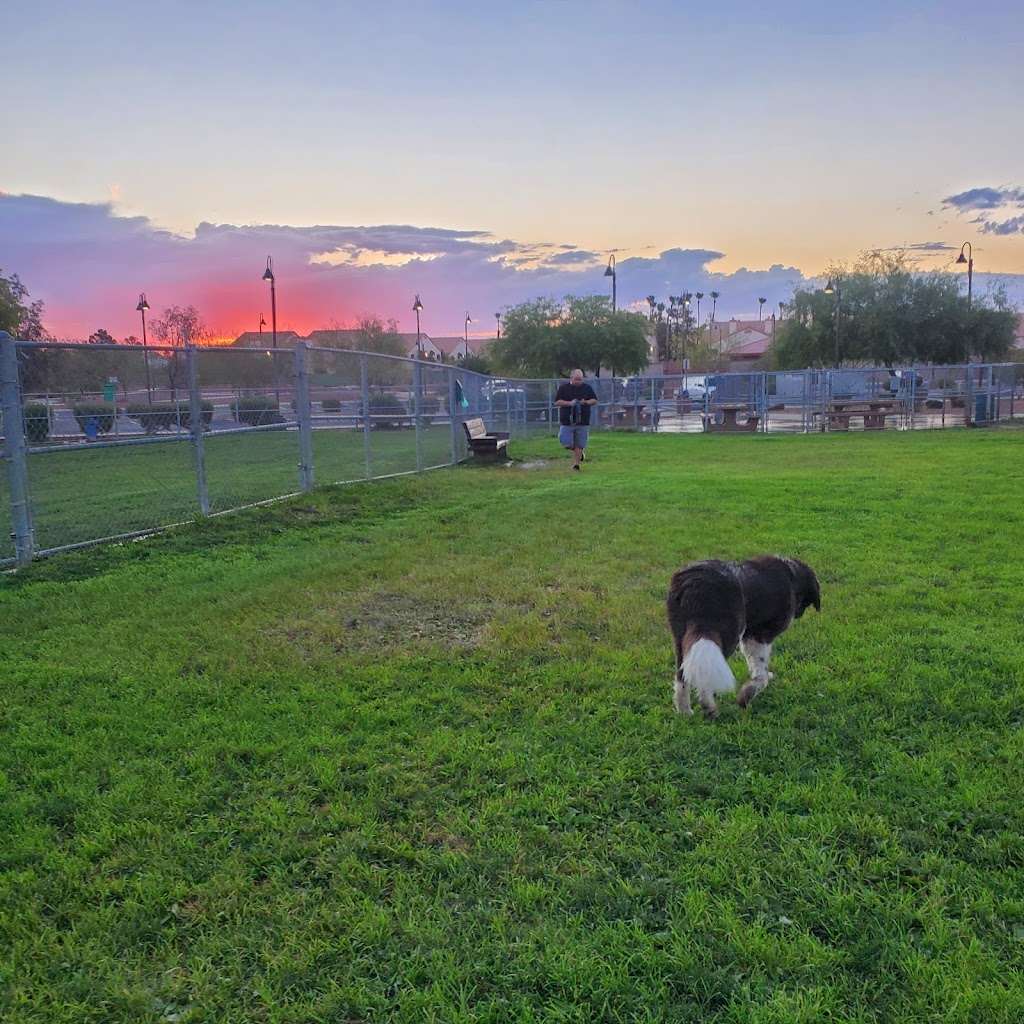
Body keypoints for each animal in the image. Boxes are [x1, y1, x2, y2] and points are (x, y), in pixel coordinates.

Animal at [667, 557, 819, 716]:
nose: (799, 614)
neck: (792, 575)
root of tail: (696, 582)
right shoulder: (759, 635)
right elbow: (761, 671)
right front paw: (747, 695)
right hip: (727, 636)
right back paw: (709, 707)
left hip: (681, 637)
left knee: (682, 675)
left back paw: (685, 712)